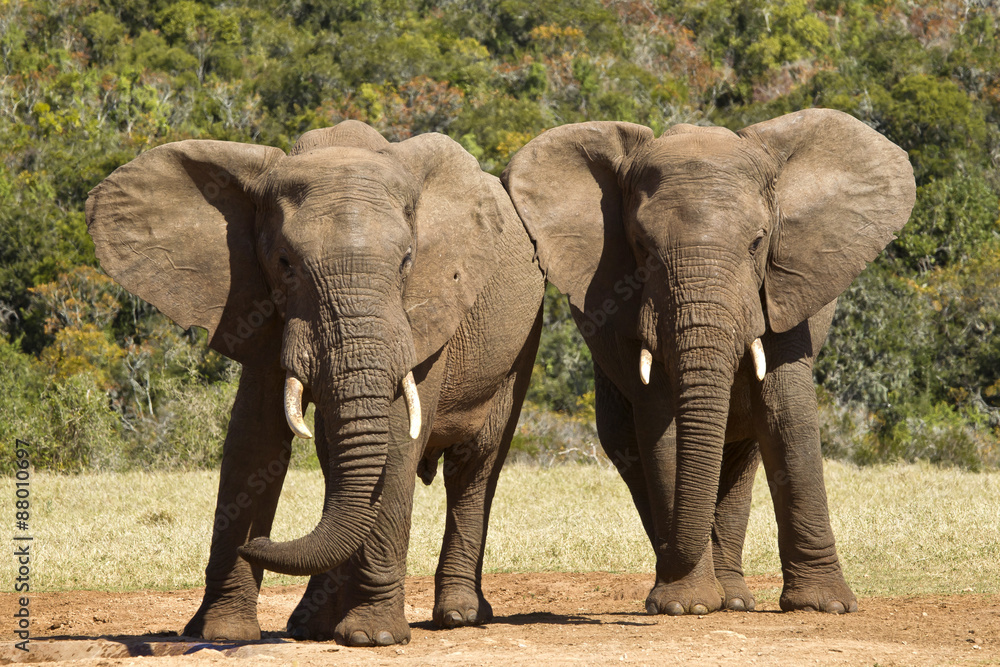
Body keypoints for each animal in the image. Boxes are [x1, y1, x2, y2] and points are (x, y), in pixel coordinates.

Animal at [86, 120, 544, 645]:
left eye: (407, 261)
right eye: (285, 263)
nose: (260, 543)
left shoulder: (427, 309)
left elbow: (396, 440)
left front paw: (374, 638)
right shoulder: (255, 298)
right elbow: (253, 439)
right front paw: (221, 633)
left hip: (520, 343)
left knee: (474, 464)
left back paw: (459, 617)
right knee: (334, 459)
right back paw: (310, 626)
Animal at [503, 109, 915, 616]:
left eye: (758, 242)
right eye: (641, 245)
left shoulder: (783, 290)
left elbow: (788, 415)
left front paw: (826, 606)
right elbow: (661, 424)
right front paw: (687, 606)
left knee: (743, 456)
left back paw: (733, 599)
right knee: (629, 447)